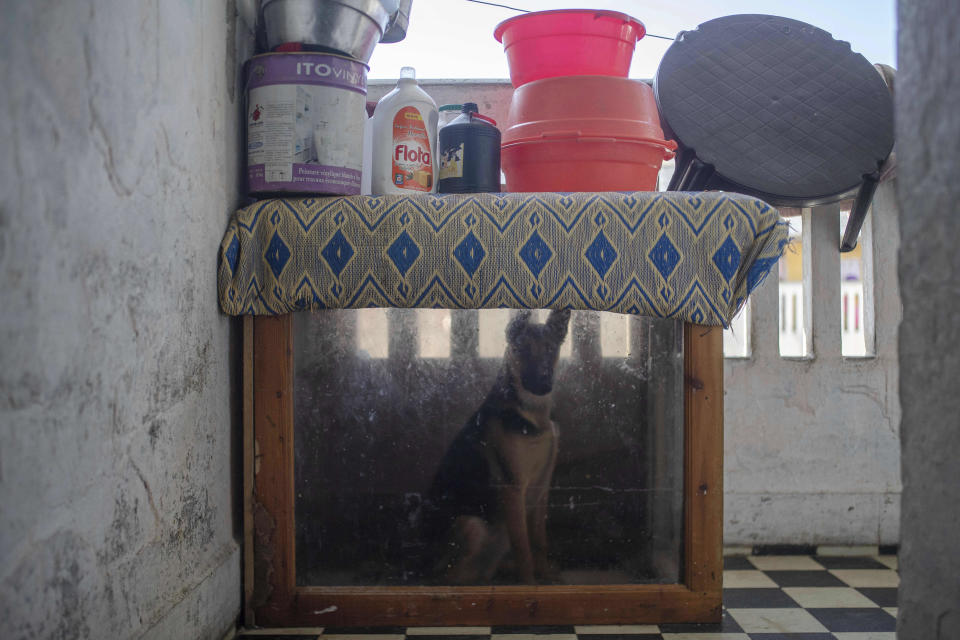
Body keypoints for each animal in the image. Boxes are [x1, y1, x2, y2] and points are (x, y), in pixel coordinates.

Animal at [426, 308, 568, 584]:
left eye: (550, 348)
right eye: (521, 349)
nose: (544, 384)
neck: (532, 414)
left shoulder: (542, 488)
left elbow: (539, 541)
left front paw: (545, 577)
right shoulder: (513, 489)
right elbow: (524, 547)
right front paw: (529, 584)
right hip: (471, 525)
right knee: (448, 577)